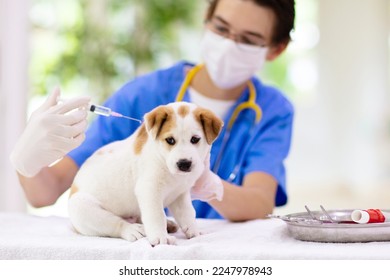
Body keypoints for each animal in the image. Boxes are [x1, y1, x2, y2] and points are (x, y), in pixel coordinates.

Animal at [68, 101, 224, 246]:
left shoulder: (180, 194)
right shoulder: (150, 190)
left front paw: (194, 231)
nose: (184, 164)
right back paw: (132, 230)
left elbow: (188, 214)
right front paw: (160, 237)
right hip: (82, 207)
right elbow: (157, 215)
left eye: (195, 139)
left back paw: (168, 224)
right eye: (170, 140)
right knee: (116, 224)